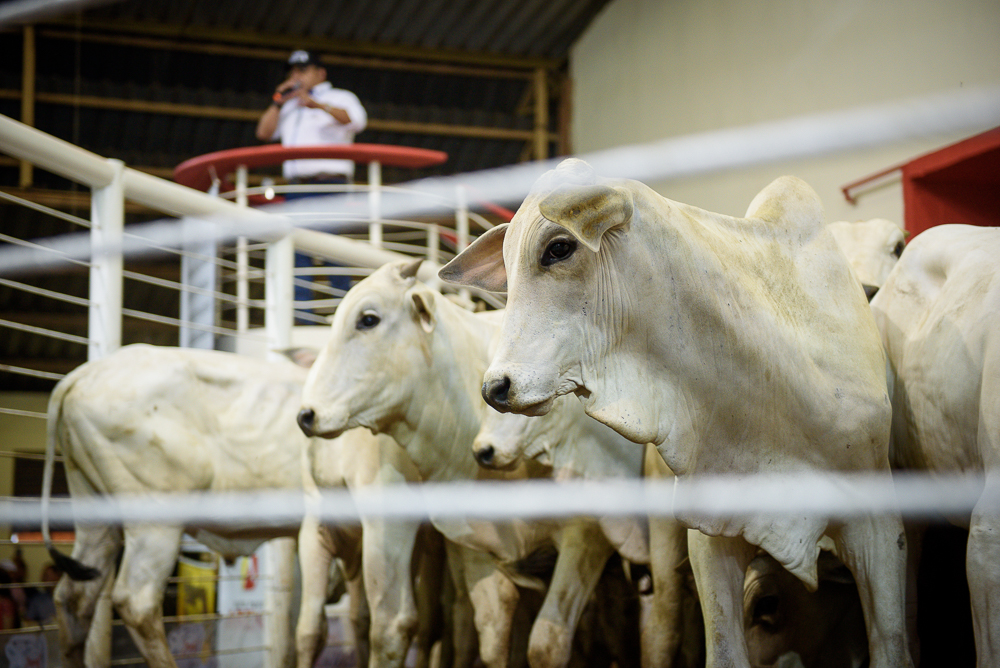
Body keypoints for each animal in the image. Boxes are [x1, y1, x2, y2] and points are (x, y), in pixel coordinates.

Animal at [298, 260, 632, 668]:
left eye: (368, 319)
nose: (307, 415)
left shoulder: (585, 537)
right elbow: (485, 633)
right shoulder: (465, 543)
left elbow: (544, 644)